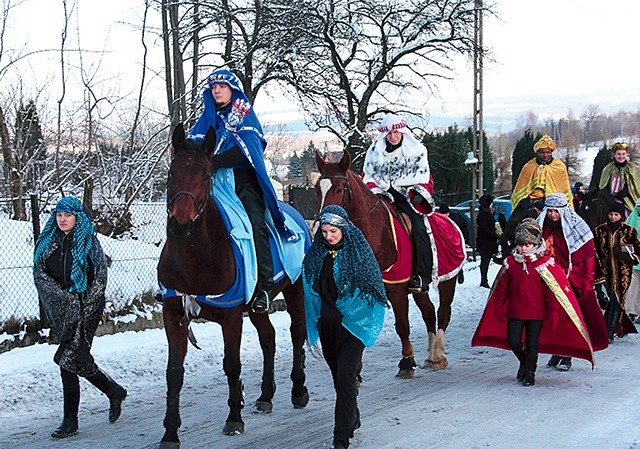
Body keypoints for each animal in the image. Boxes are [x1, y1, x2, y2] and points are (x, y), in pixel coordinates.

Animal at [156, 122, 308, 444]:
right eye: (172, 172)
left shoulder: (231, 315)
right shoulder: (174, 312)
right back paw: (265, 396)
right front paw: (170, 432)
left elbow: (232, 364)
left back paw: (299, 389)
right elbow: (174, 372)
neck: (195, 256)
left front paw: (234, 417)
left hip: (295, 288)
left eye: (206, 175)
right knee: (269, 338)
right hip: (258, 304)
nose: (180, 225)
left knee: (296, 333)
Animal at [314, 150, 460, 374]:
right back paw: (430, 355)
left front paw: (407, 361)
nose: (323, 227)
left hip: (447, 281)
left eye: (339, 189)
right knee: (428, 313)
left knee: (443, 312)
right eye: (316, 190)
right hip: (420, 288)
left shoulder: (396, 288)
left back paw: (438, 355)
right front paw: (355, 368)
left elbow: (402, 325)